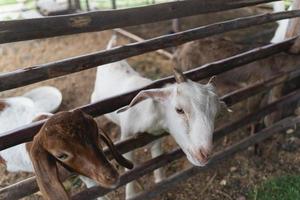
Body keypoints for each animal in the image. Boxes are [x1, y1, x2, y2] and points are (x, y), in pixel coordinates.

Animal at [91, 35, 225, 199]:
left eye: (216, 114)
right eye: (179, 110)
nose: (204, 154)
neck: (147, 114)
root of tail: (111, 47)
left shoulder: (156, 138)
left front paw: (160, 182)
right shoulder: (127, 138)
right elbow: (130, 171)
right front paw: (130, 195)